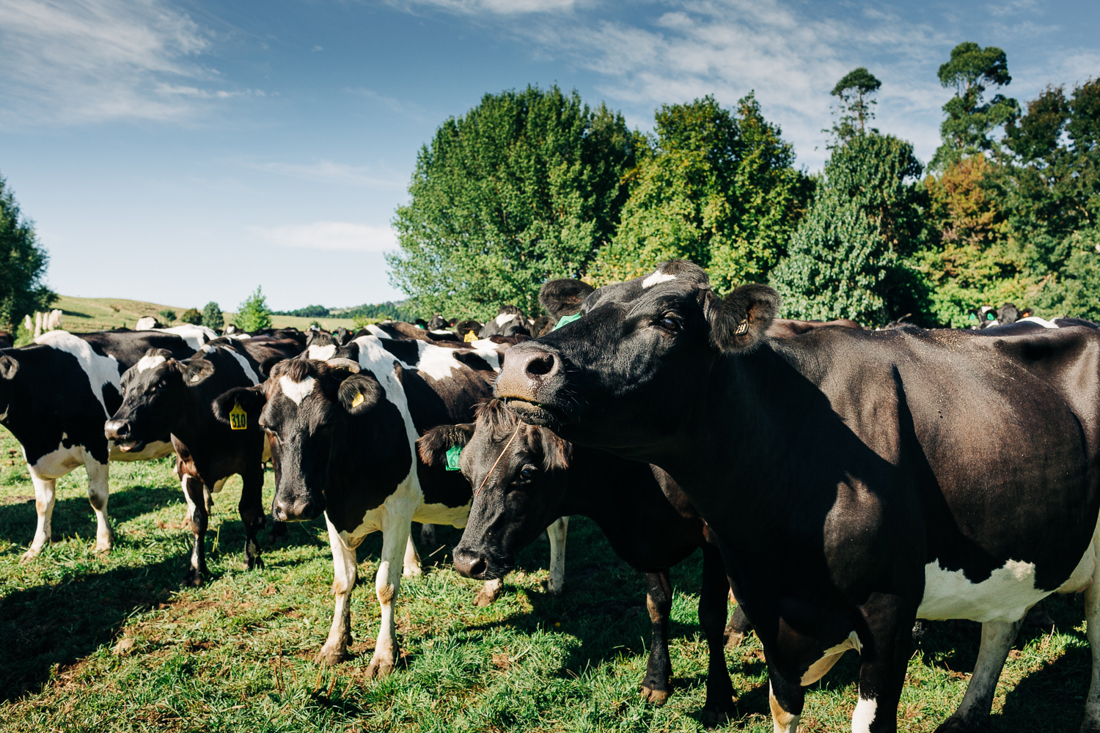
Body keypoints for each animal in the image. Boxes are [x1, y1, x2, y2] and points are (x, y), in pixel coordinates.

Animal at [0, 329, 209, 560]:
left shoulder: (96, 444)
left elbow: (96, 497)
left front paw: (104, 541)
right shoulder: (34, 455)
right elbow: (42, 504)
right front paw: (36, 547)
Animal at [104, 337, 301, 584]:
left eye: (161, 384)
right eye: (123, 385)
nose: (115, 428)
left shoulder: (249, 465)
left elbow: (246, 511)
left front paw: (253, 557)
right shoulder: (186, 471)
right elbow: (198, 520)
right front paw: (197, 570)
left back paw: (277, 529)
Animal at [215, 335, 564, 675]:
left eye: (327, 422)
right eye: (266, 426)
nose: (294, 506)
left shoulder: (398, 511)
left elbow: (385, 587)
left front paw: (384, 655)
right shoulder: (330, 511)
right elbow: (342, 582)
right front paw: (334, 645)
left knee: (558, 526)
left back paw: (556, 583)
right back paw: (491, 588)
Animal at [420, 398, 751, 723]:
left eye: (526, 472)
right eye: (465, 471)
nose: (467, 561)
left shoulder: (715, 536)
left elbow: (710, 615)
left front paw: (718, 699)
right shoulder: (649, 544)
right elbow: (657, 605)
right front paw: (656, 680)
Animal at [494, 259, 1100, 733]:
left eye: (669, 320)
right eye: (589, 306)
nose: (521, 363)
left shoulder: (889, 609)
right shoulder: (765, 604)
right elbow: (781, 705)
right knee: (1004, 620)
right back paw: (966, 715)